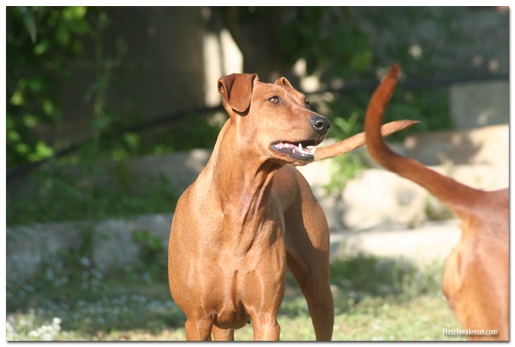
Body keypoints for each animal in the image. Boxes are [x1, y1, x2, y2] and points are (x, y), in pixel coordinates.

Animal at [168, 72, 416, 342]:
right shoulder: (197, 321)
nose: (323, 123)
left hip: (319, 290)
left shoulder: (266, 317)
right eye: (274, 100)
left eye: (306, 102)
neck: (238, 209)